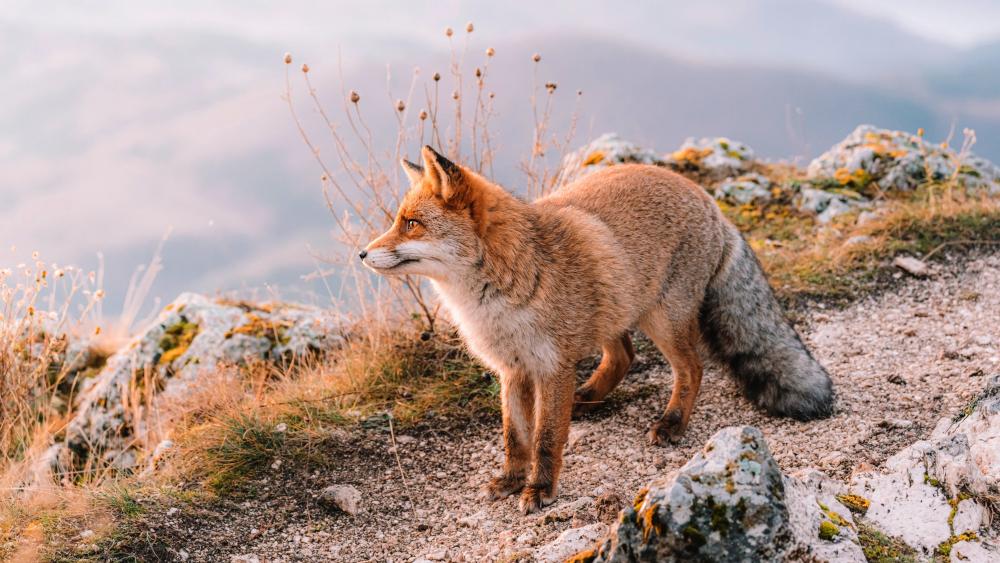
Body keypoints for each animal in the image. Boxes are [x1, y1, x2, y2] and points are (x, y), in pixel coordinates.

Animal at [361, 146, 834, 514]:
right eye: (398, 220)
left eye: (411, 223)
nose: (362, 254)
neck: (496, 298)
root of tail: (708, 198)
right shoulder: (513, 370)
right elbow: (516, 438)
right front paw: (511, 480)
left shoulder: (551, 368)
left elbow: (546, 439)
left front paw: (540, 489)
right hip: (616, 307)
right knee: (625, 354)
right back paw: (589, 397)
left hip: (661, 319)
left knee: (692, 368)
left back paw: (672, 423)